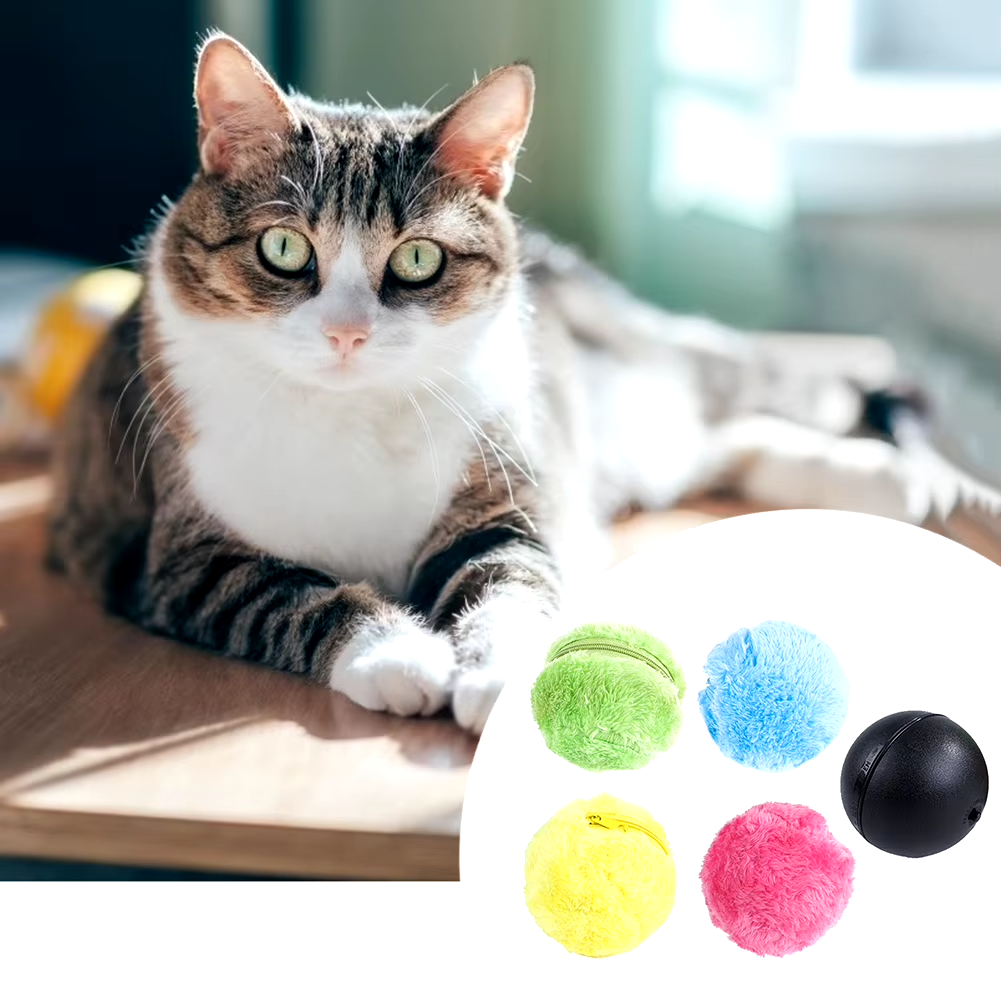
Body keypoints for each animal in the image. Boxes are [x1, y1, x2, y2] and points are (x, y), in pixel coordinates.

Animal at [48, 35, 1001, 732]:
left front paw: (495, 673)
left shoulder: (500, 498)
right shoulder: (177, 558)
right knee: (715, 444)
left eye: (418, 259)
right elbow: (294, 594)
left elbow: (508, 584)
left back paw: (901, 479)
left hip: (623, 398)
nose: (347, 333)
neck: (349, 415)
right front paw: (398, 655)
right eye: (284, 249)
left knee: (727, 412)